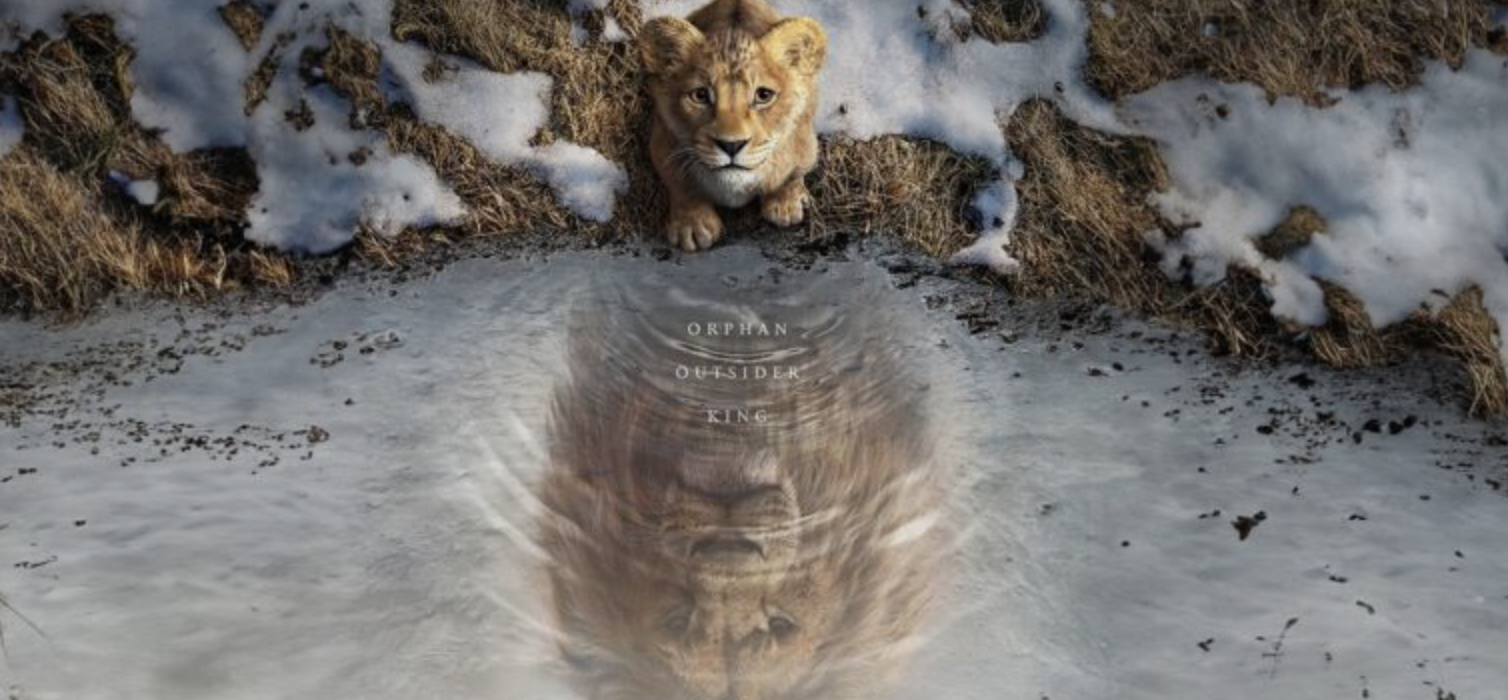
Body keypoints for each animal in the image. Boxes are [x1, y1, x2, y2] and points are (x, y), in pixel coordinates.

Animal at [639, 0, 827, 252]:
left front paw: (785, 204)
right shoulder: (663, 142)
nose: (731, 145)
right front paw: (693, 225)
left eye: (764, 95)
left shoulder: (806, 143)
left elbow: (793, 174)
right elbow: (680, 184)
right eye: (700, 95)